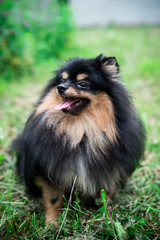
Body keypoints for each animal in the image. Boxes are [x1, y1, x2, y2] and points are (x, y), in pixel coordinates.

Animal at [12, 54, 145, 225]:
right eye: (61, 80)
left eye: (83, 84)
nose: (61, 88)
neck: (81, 131)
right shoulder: (51, 168)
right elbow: (53, 198)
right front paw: (51, 224)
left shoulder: (109, 168)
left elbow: (107, 193)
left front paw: (106, 217)